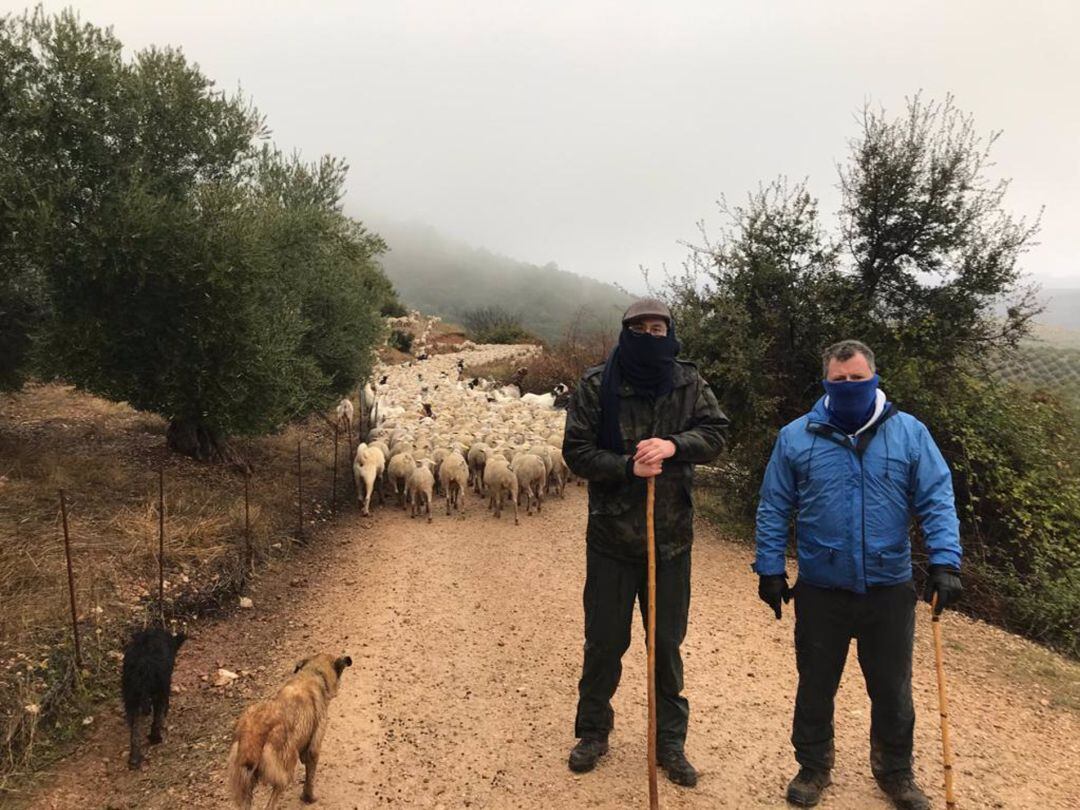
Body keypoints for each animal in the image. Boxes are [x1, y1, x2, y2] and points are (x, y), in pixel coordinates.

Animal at [122, 630, 185, 768]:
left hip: (131, 696)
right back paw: (155, 738)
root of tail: (143, 666)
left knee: (135, 729)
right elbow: (161, 712)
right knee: (156, 715)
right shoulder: (165, 687)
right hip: (158, 690)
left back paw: (134, 759)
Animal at [225, 656, 352, 807]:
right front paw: (308, 798)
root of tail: (252, 735)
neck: (313, 673)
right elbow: (309, 780)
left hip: (244, 789)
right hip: (286, 774)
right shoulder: (314, 749)